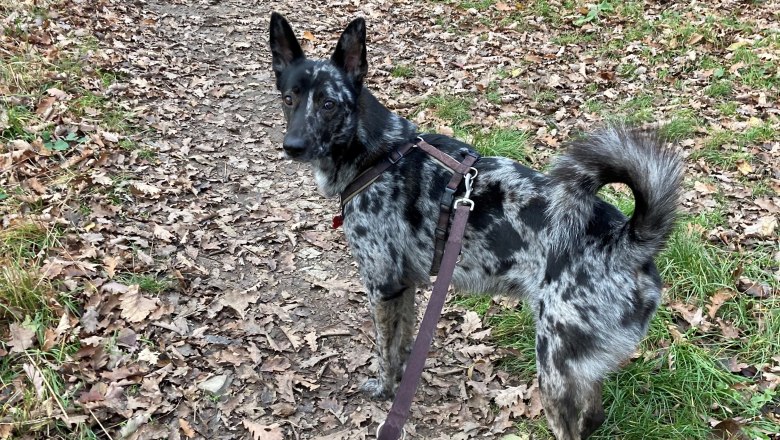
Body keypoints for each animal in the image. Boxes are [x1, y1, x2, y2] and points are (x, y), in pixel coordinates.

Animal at [270, 12, 684, 438]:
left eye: (329, 104)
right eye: (289, 99)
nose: (292, 146)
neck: (379, 154)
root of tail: (627, 240)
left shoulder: (382, 288)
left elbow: (385, 351)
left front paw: (384, 391)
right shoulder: (406, 287)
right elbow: (403, 345)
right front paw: (401, 381)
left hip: (555, 368)